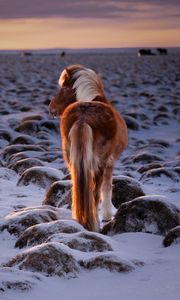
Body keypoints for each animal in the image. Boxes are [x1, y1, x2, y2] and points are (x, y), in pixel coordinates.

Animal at [48, 63, 128, 232]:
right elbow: (107, 188)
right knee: (95, 192)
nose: (50, 108)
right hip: (99, 164)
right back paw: (94, 224)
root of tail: (83, 116)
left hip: (73, 160)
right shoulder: (110, 162)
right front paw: (107, 215)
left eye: (63, 88)